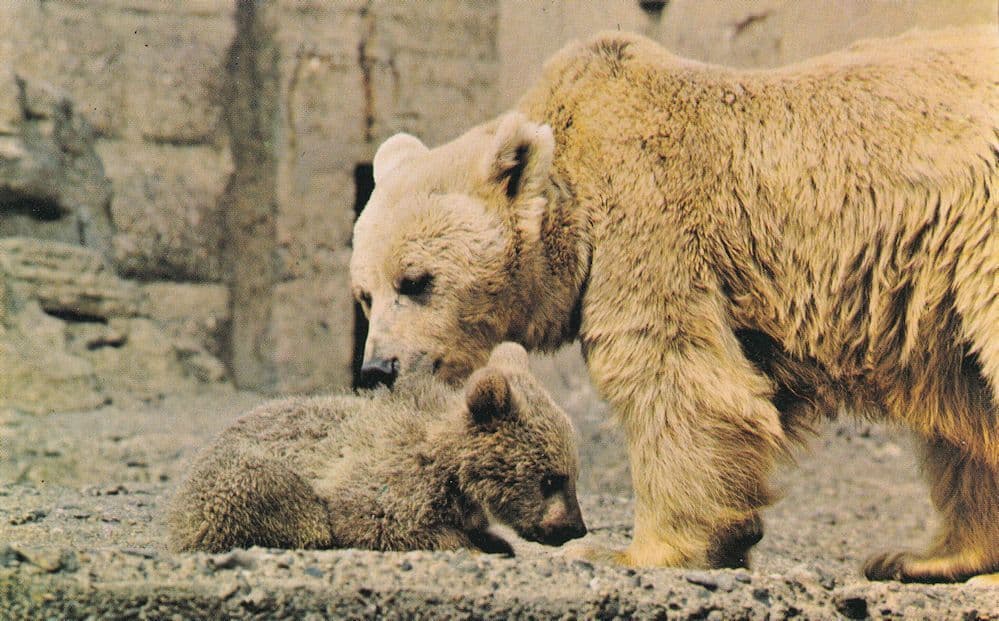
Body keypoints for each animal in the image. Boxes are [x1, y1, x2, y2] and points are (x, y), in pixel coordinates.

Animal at [167, 342, 587, 554]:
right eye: (552, 478)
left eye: (572, 475)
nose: (575, 528)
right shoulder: (390, 474)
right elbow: (378, 519)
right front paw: (473, 545)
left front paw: (494, 540)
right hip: (240, 478)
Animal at [349, 26, 998, 583]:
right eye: (364, 294)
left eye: (416, 280)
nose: (378, 367)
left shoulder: (650, 216)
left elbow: (675, 376)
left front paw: (632, 550)